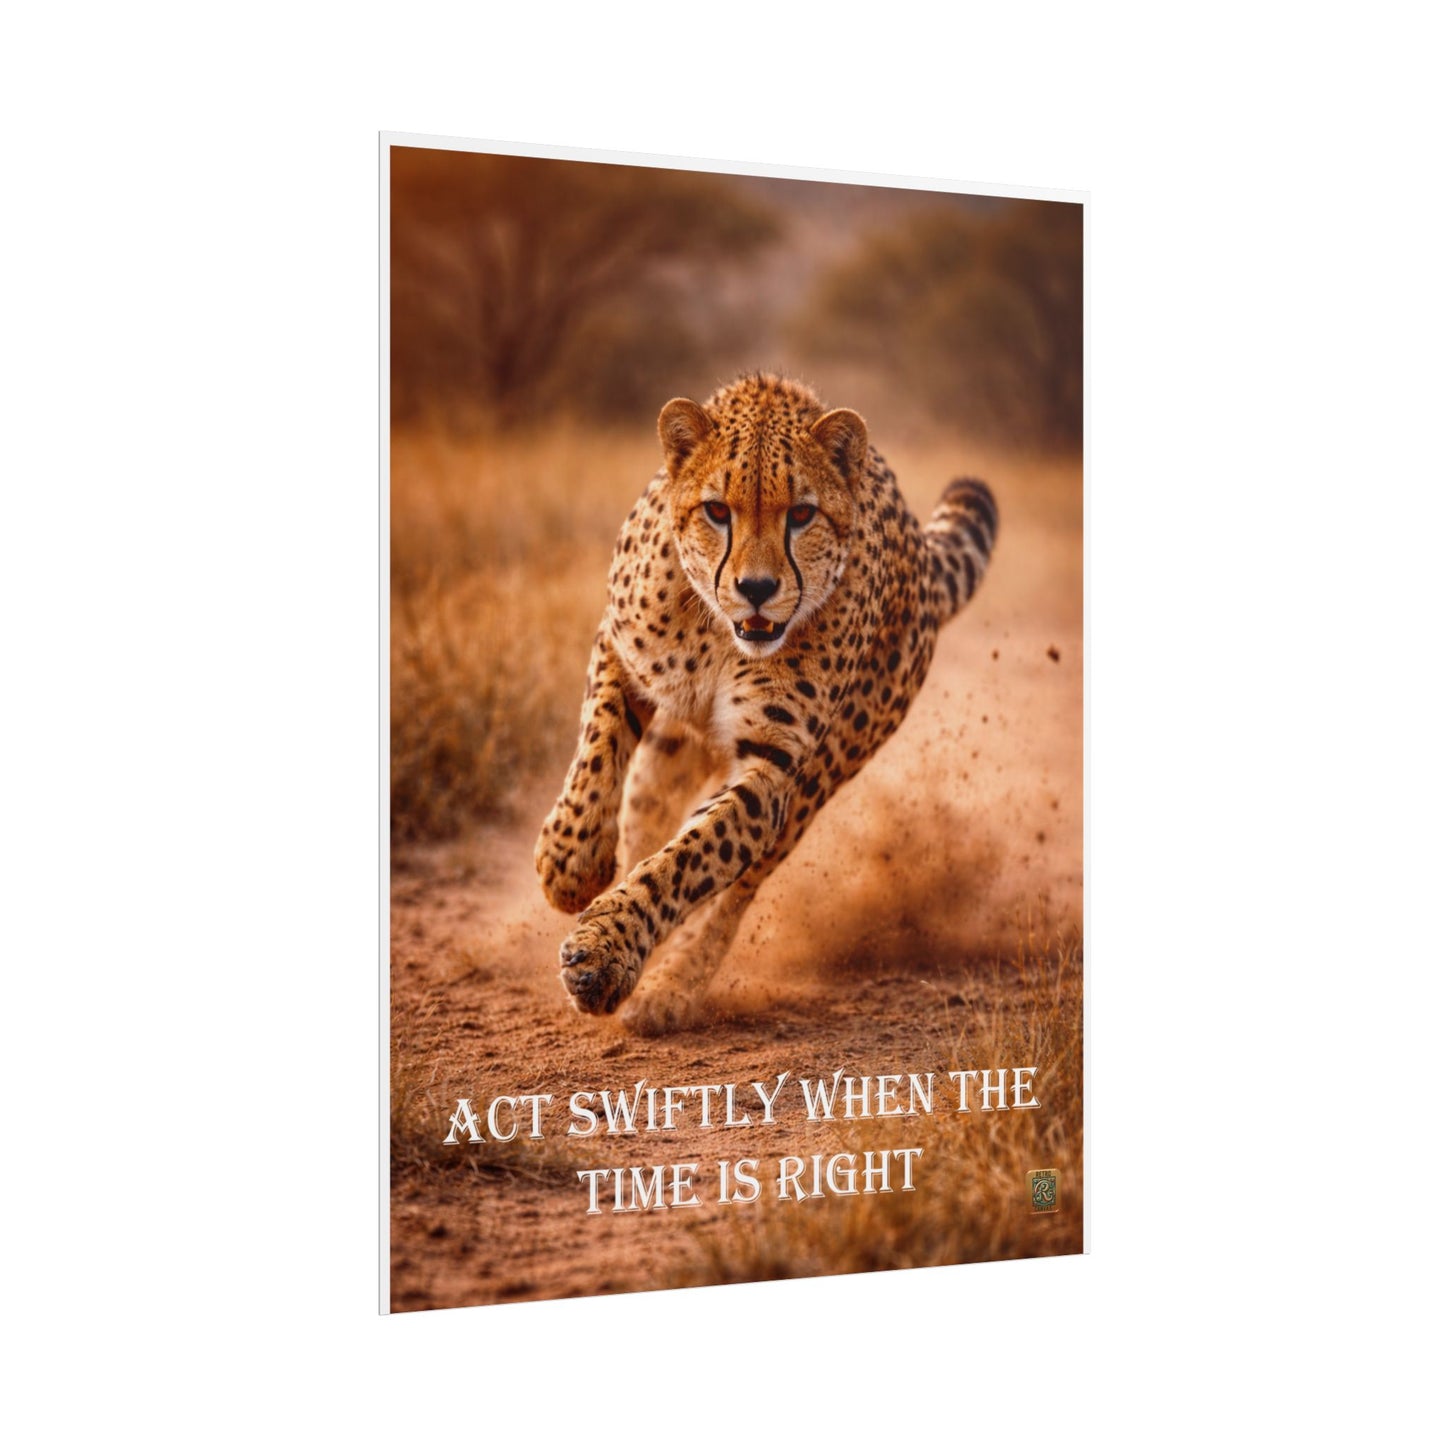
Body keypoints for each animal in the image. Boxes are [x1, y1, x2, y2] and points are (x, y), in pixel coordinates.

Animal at [534, 373, 997, 1034]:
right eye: (717, 511)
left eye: (801, 514)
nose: (756, 589)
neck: (717, 632)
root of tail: (918, 547)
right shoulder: (620, 649)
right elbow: (595, 753)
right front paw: (570, 863)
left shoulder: (772, 767)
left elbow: (690, 860)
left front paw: (606, 950)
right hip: (671, 757)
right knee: (647, 814)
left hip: (822, 773)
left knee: (737, 888)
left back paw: (671, 986)